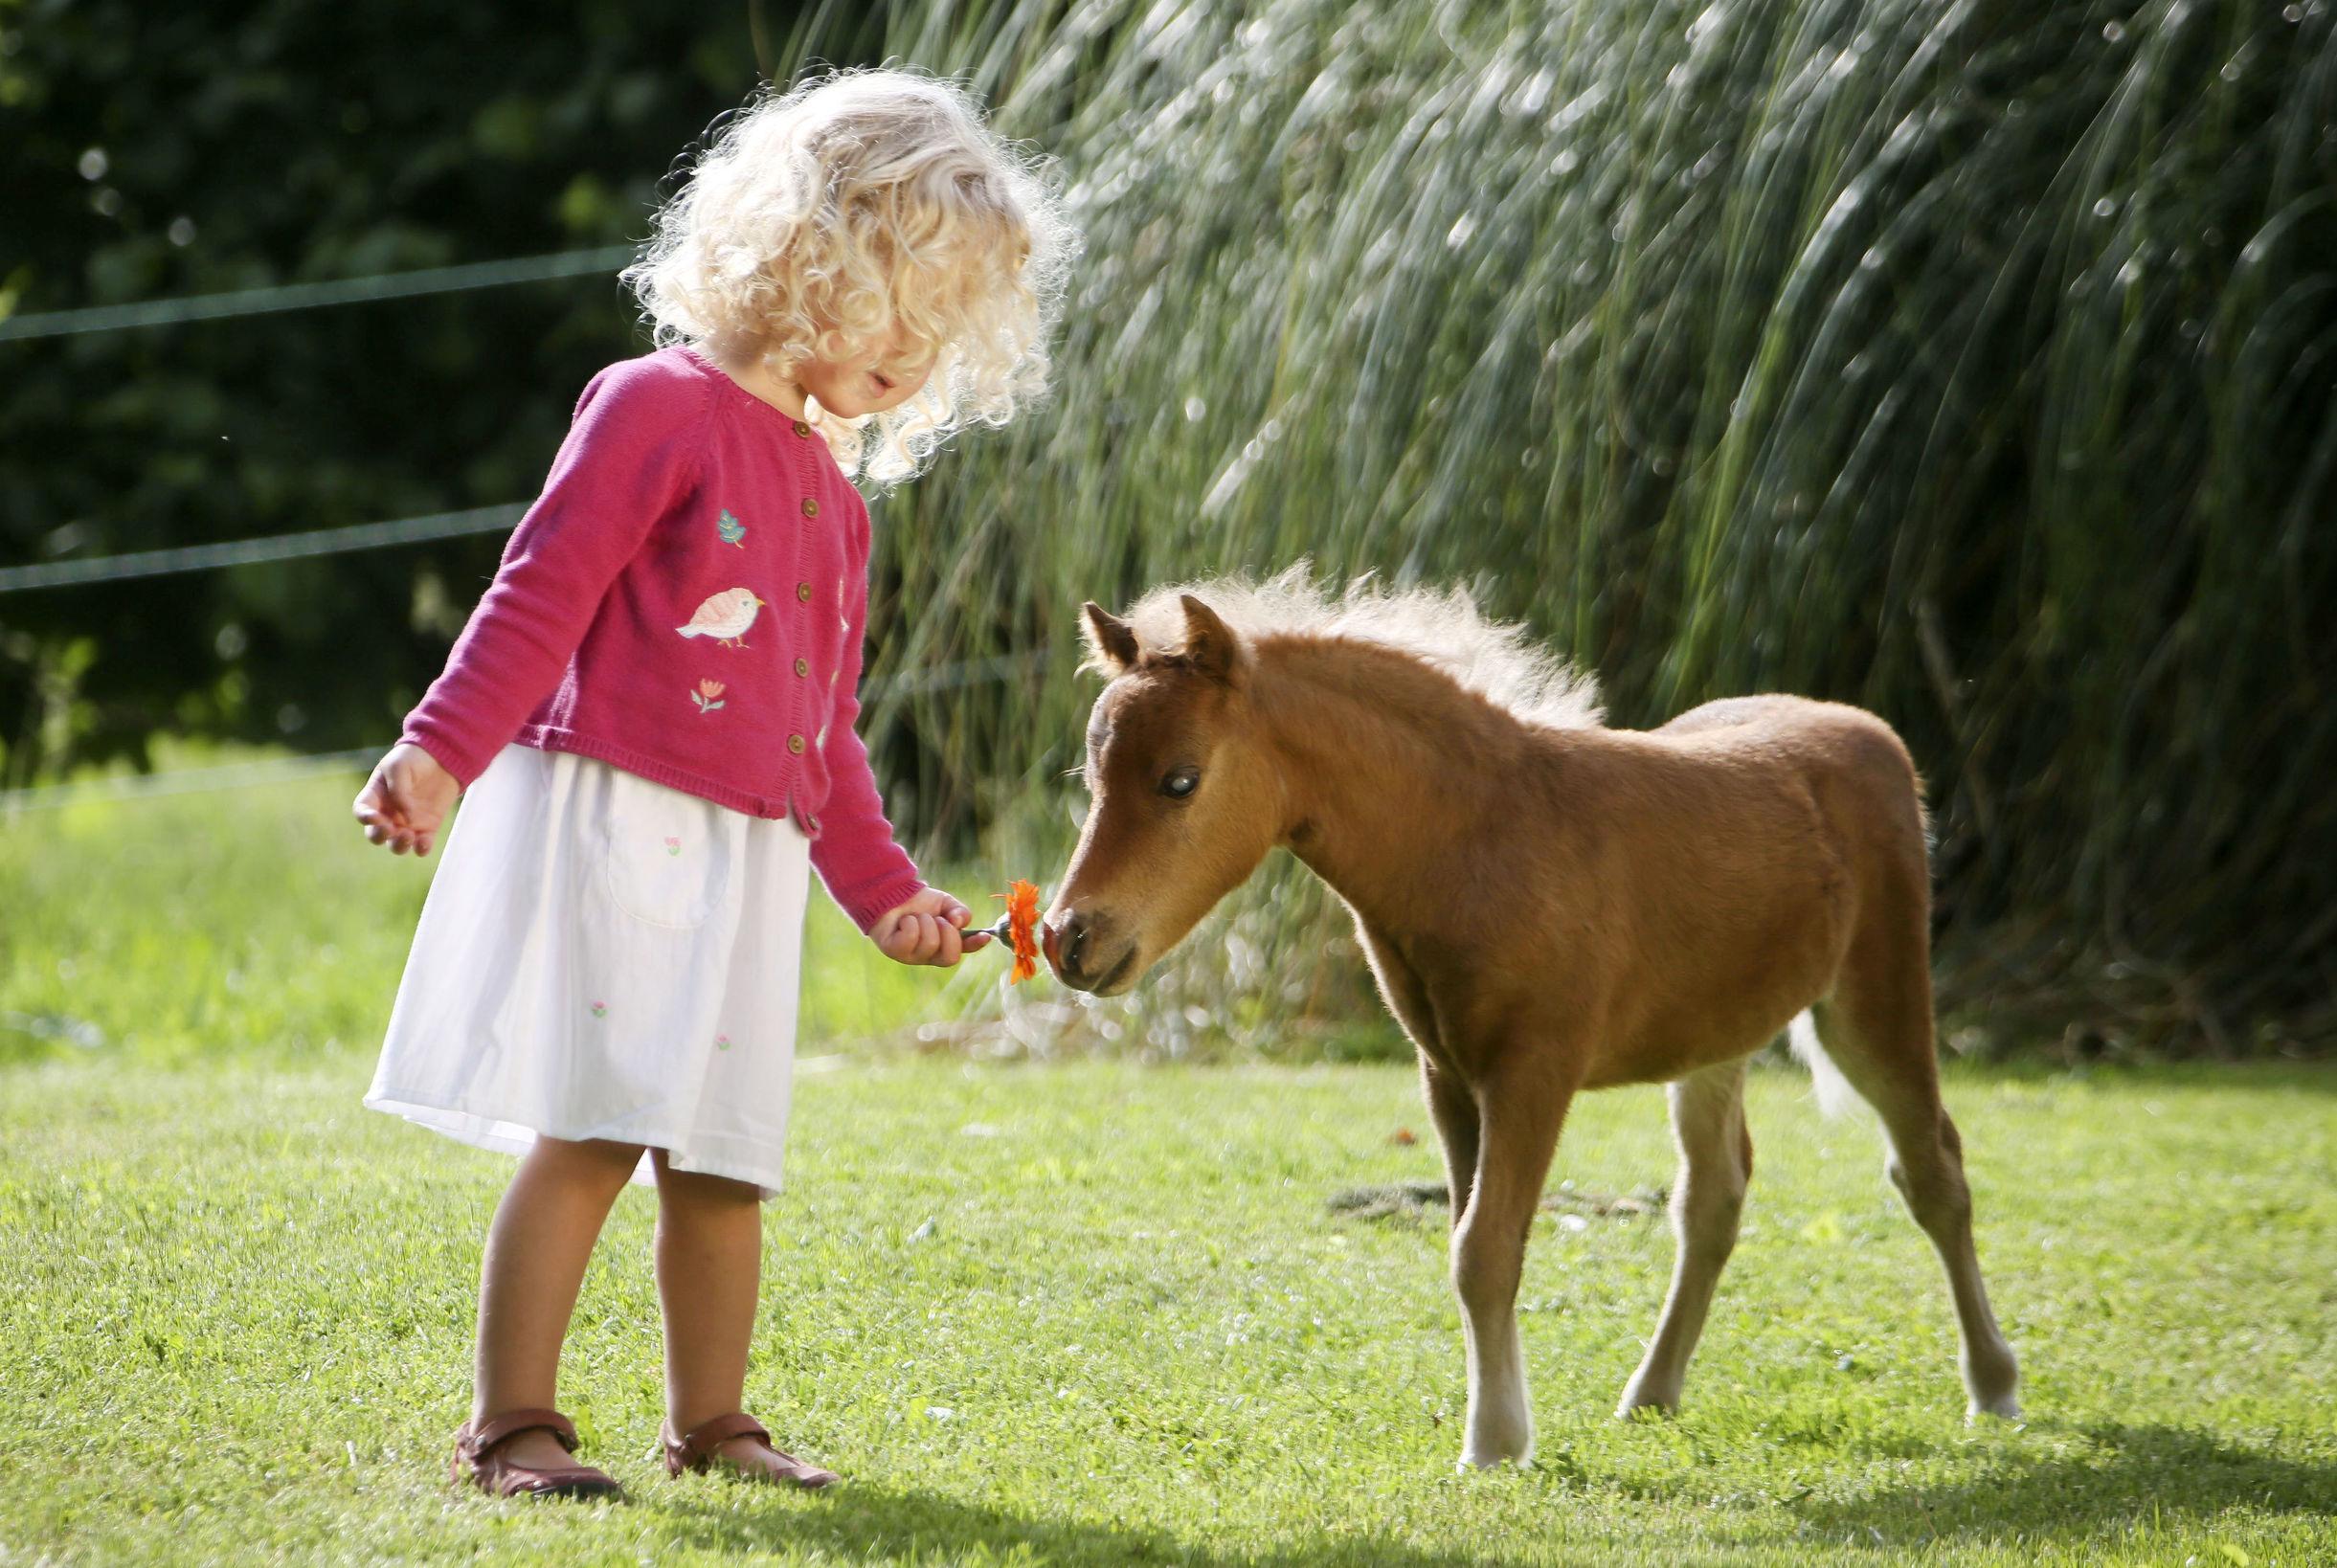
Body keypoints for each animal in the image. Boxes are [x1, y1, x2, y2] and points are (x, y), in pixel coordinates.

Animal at [1042, 576, 2010, 1476]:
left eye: (1179, 780)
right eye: (1092, 779)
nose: (1065, 938)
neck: (1474, 841)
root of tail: (1869, 732)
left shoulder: (1534, 1071)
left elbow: (1484, 1249)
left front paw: (1493, 1443)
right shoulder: (1447, 1075)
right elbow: (1473, 1248)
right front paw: (1501, 1431)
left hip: (1873, 1000)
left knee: (1932, 1170)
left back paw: (1993, 1387)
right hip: (1715, 1037)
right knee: (1713, 1196)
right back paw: (1652, 1392)